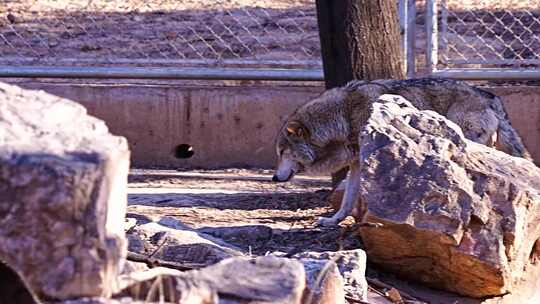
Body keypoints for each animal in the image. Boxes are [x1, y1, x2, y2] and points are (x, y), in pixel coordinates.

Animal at [272, 77, 532, 227]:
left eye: (283, 151)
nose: (274, 177)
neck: (343, 116)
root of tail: (491, 96)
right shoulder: (356, 163)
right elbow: (347, 201)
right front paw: (334, 220)